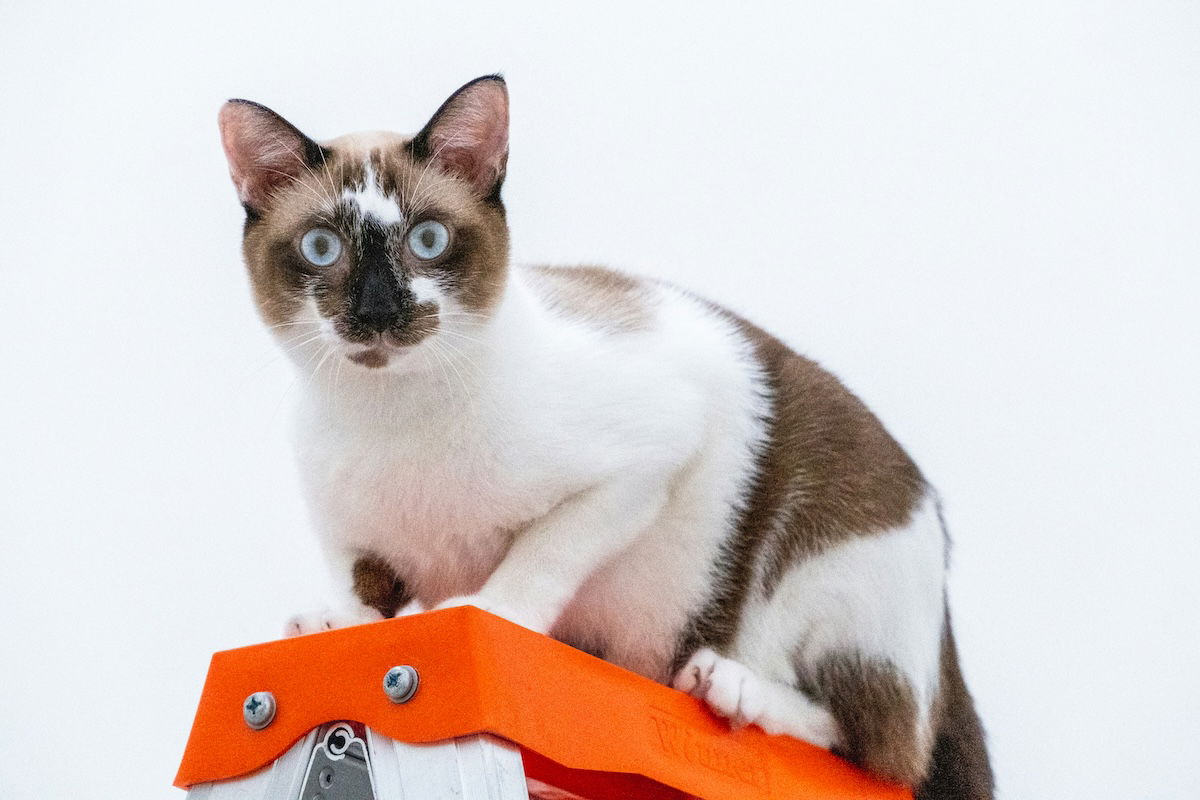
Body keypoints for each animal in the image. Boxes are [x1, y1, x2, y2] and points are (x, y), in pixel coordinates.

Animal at [216, 76, 993, 800]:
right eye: (322, 248)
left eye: (427, 240)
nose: (378, 312)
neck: (388, 413)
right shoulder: (349, 534)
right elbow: (363, 594)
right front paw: (334, 625)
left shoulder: (648, 459)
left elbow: (538, 560)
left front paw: (482, 611)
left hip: (831, 574)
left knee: (880, 745)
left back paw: (730, 685)